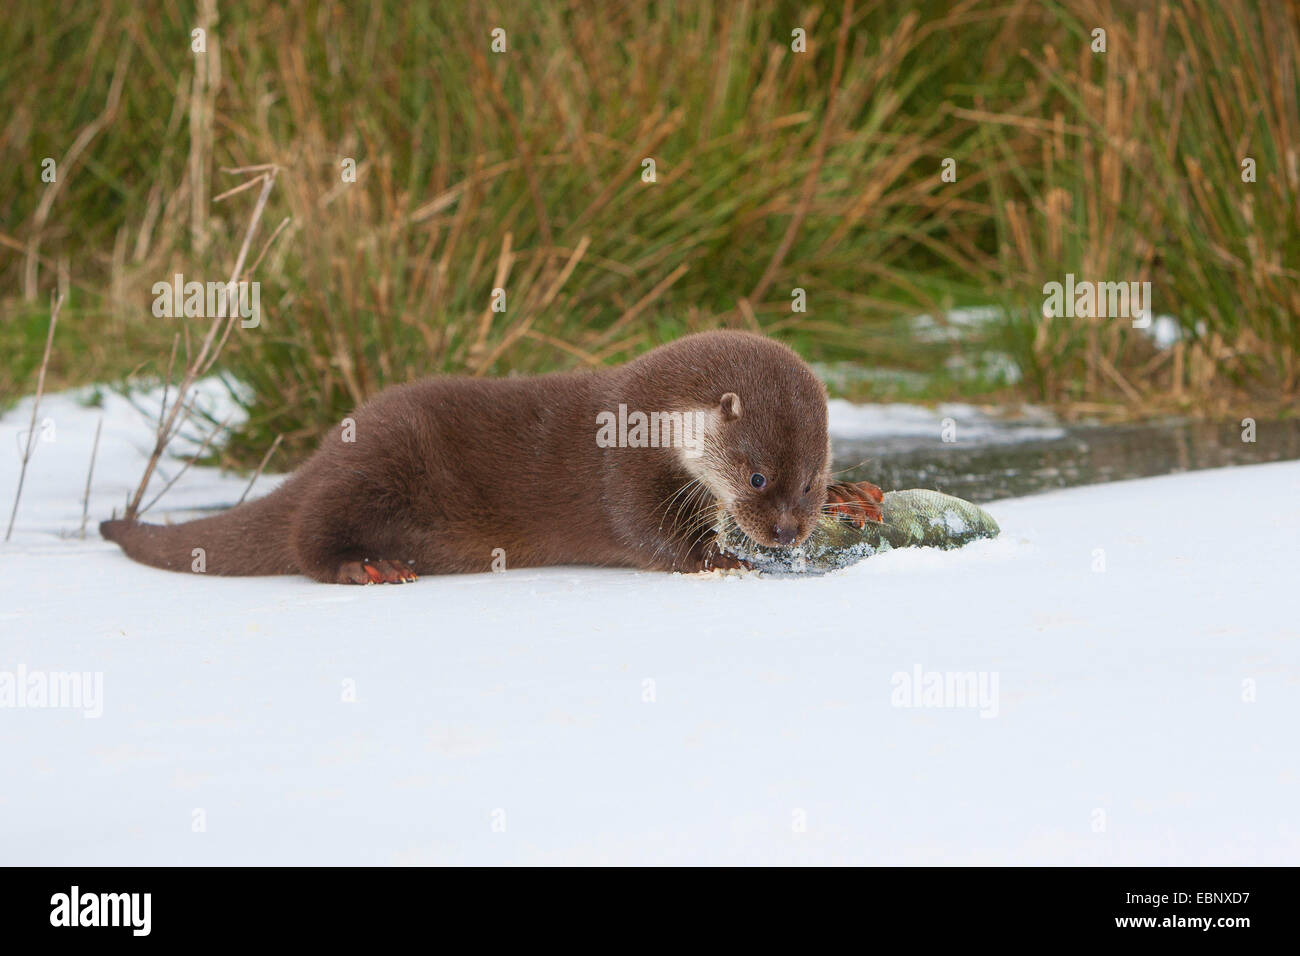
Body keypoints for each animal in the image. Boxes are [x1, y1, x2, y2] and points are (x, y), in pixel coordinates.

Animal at [104, 329, 883, 582]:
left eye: (808, 482)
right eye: (756, 475)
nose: (785, 533)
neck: (644, 422)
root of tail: (327, 450)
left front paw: (856, 497)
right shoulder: (621, 474)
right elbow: (645, 531)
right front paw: (720, 558)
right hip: (379, 462)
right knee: (304, 537)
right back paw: (365, 567)